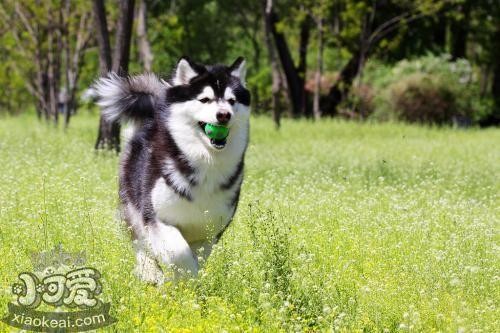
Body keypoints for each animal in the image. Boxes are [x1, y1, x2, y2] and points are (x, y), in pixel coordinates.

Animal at [94, 57, 250, 282]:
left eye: (232, 101)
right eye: (204, 99)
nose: (223, 115)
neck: (206, 163)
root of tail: (152, 116)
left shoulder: (209, 232)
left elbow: (197, 256)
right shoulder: (157, 218)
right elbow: (179, 253)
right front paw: (180, 280)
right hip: (132, 204)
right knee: (140, 242)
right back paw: (149, 272)